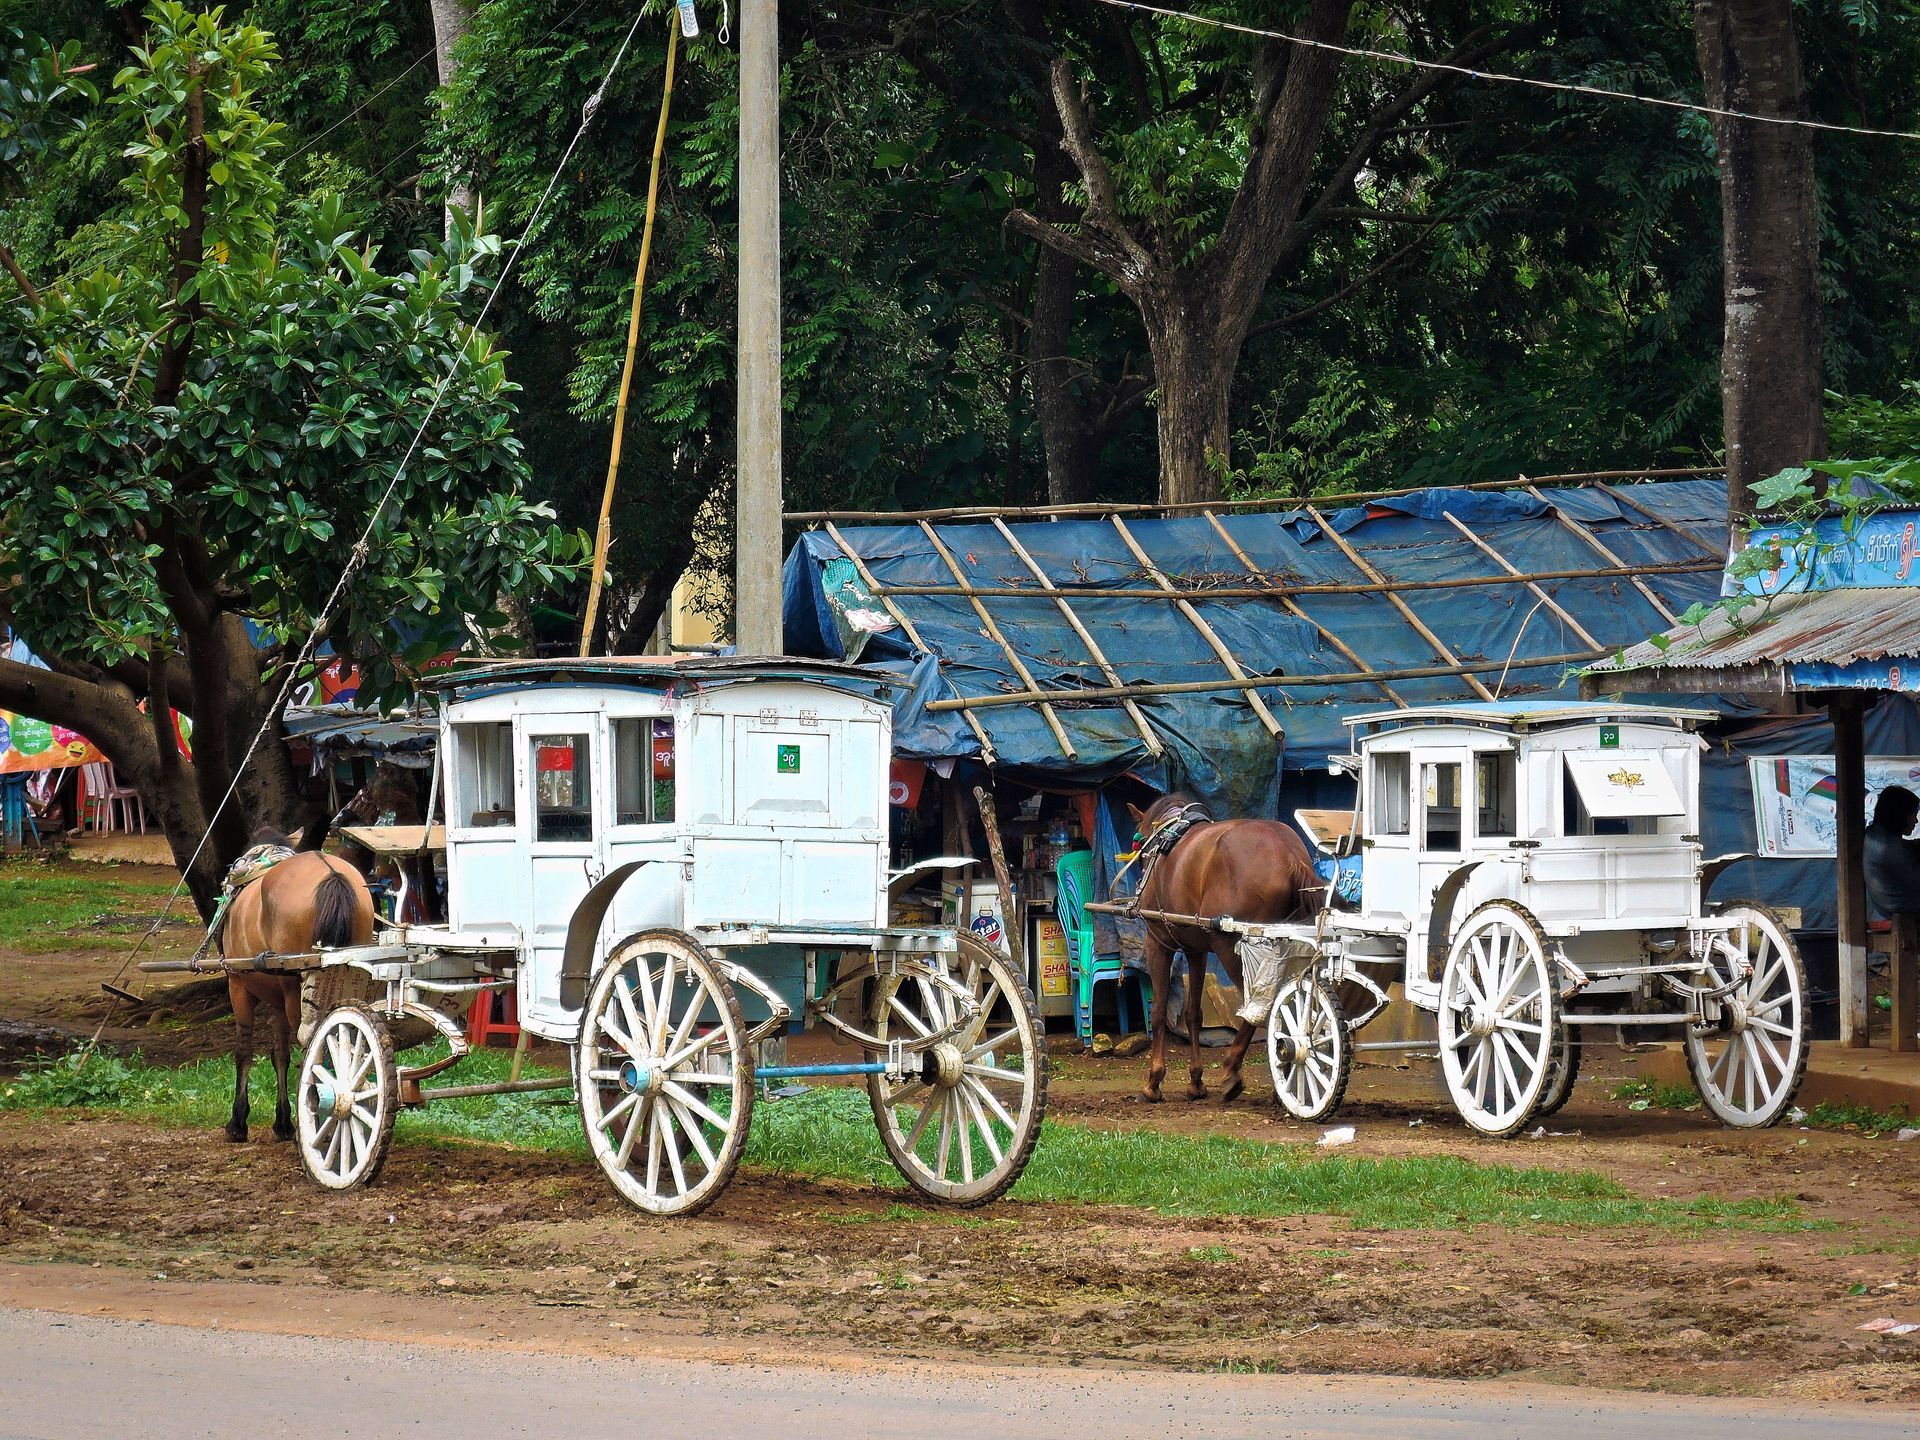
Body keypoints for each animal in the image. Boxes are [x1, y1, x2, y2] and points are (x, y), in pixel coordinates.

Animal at [221, 840, 374, 1144]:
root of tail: (332, 874)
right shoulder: (277, 1001)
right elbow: (280, 1054)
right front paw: (282, 1121)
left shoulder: (238, 984)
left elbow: (244, 1051)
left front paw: (238, 1121)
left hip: (292, 989)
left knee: (312, 1042)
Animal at [1121, 794, 1320, 1113]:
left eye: (1137, 841)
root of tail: (1291, 857)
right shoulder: (1196, 951)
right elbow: (1193, 1014)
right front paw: (1195, 1082)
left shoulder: (1158, 944)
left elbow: (1158, 1012)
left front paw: (1153, 1082)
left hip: (1233, 950)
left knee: (1261, 1007)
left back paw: (1233, 1070)